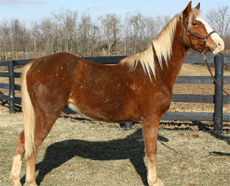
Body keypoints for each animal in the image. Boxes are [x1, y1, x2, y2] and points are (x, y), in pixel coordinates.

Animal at [9, 1, 224, 186]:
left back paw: (14, 179)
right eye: (195, 23)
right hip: (46, 115)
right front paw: (154, 181)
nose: (220, 44)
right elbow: (152, 151)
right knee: (32, 145)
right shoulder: (151, 118)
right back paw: (31, 181)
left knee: (22, 141)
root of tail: (34, 64)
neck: (156, 71)